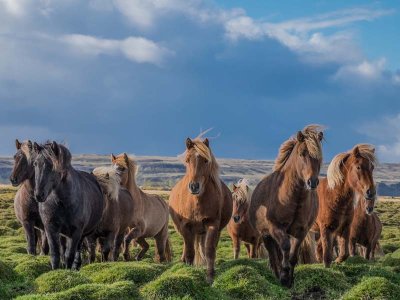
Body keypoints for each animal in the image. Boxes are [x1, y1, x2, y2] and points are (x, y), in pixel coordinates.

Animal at [32, 141, 104, 270]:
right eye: (35, 164)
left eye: (52, 165)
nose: (39, 195)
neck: (61, 202)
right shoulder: (51, 228)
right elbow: (55, 254)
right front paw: (56, 271)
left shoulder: (75, 232)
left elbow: (69, 255)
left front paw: (68, 271)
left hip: (81, 234)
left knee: (77, 250)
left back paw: (76, 266)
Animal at [168, 137, 231, 282]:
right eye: (187, 160)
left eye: (206, 160)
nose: (194, 186)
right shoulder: (185, 226)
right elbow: (190, 251)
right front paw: (188, 272)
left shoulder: (212, 224)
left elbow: (209, 251)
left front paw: (210, 276)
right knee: (187, 246)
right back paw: (183, 261)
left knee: (204, 247)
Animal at [248, 125, 324, 288]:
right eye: (302, 153)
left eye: (319, 156)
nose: (312, 182)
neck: (293, 198)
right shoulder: (276, 228)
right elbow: (285, 247)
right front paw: (283, 276)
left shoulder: (301, 231)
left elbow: (293, 255)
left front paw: (290, 279)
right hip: (266, 235)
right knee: (273, 255)